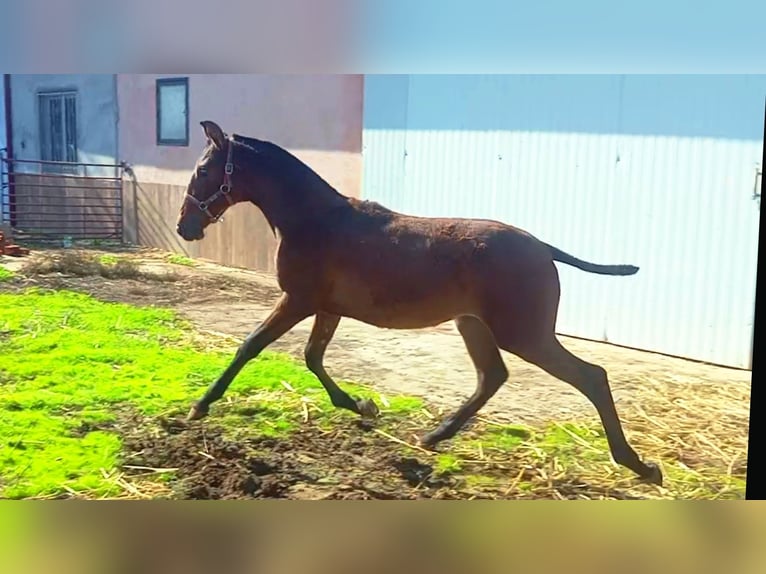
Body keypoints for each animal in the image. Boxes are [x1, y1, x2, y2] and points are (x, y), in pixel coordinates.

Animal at [177, 120, 664, 486]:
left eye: (202, 170)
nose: (185, 227)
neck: (314, 219)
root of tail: (543, 247)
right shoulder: (326, 307)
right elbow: (313, 357)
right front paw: (363, 406)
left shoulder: (298, 300)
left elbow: (251, 346)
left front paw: (200, 405)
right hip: (474, 324)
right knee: (492, 376)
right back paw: (434, 436)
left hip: (523, 334)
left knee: (592, 376)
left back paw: (639, 465)